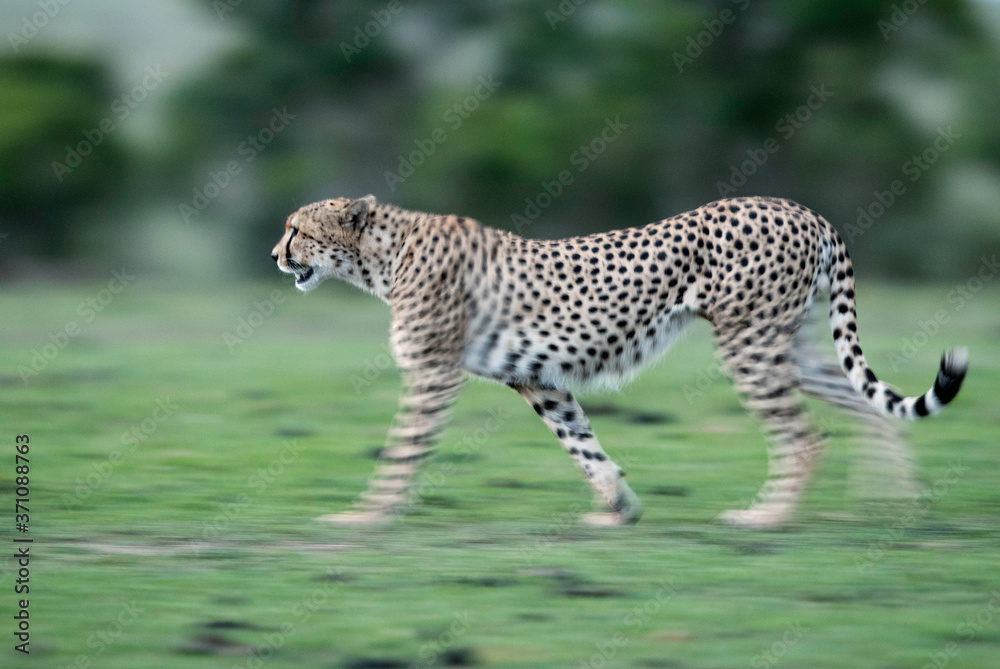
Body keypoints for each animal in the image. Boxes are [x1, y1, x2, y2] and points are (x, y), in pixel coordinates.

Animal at [271, 194, 967, 529]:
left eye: (296, 229)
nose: (275, 255)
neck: (384, 254)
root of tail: (802, 209)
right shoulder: (538, 378)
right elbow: (583, 445)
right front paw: (619, 508)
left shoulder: (433, 373)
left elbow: (402, 450)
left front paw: (365, 516)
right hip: (788, 344)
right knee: (865, 405)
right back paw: (897, 500)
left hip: (750, 344)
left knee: (805, 436)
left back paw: (766, 517)